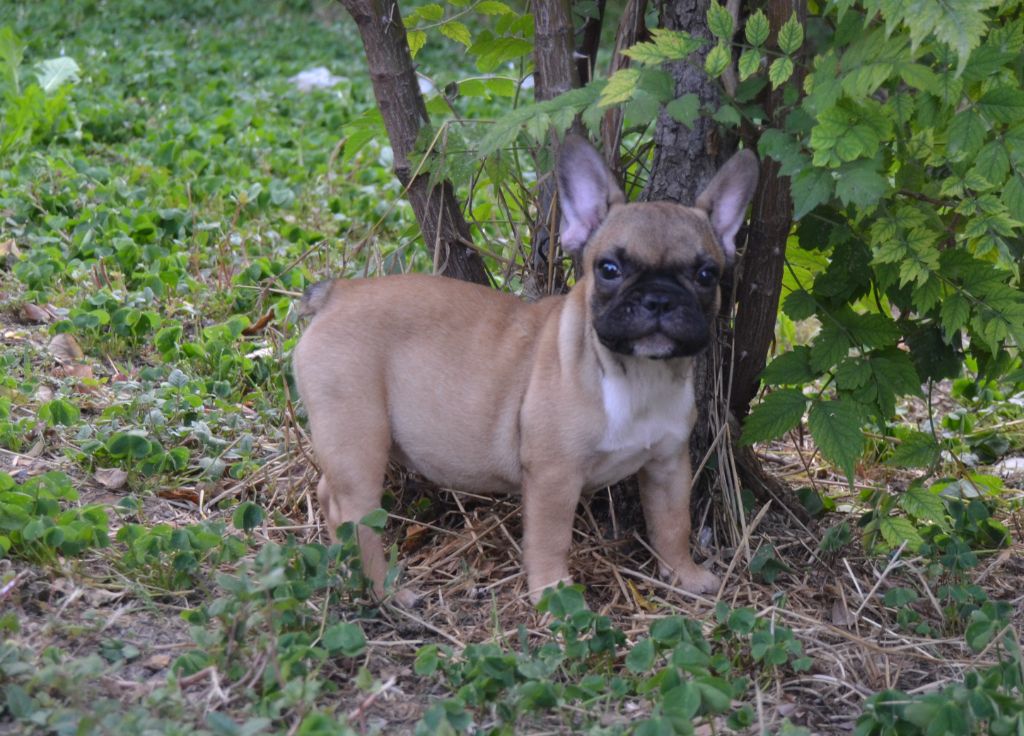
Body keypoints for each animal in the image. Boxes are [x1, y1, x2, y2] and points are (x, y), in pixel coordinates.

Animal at [292, 137, 757, 605]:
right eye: (609, 269)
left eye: (706, 275)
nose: (659, 299)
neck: (636, 374)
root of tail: (337, 294)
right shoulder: (555, 475)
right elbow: (551, 538)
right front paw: (555, 594)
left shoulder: (668, 464)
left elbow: (673, 523)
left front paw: (684, 574)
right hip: (358, 436)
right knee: (356, 515)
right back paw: (385, 592)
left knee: (331, 497)